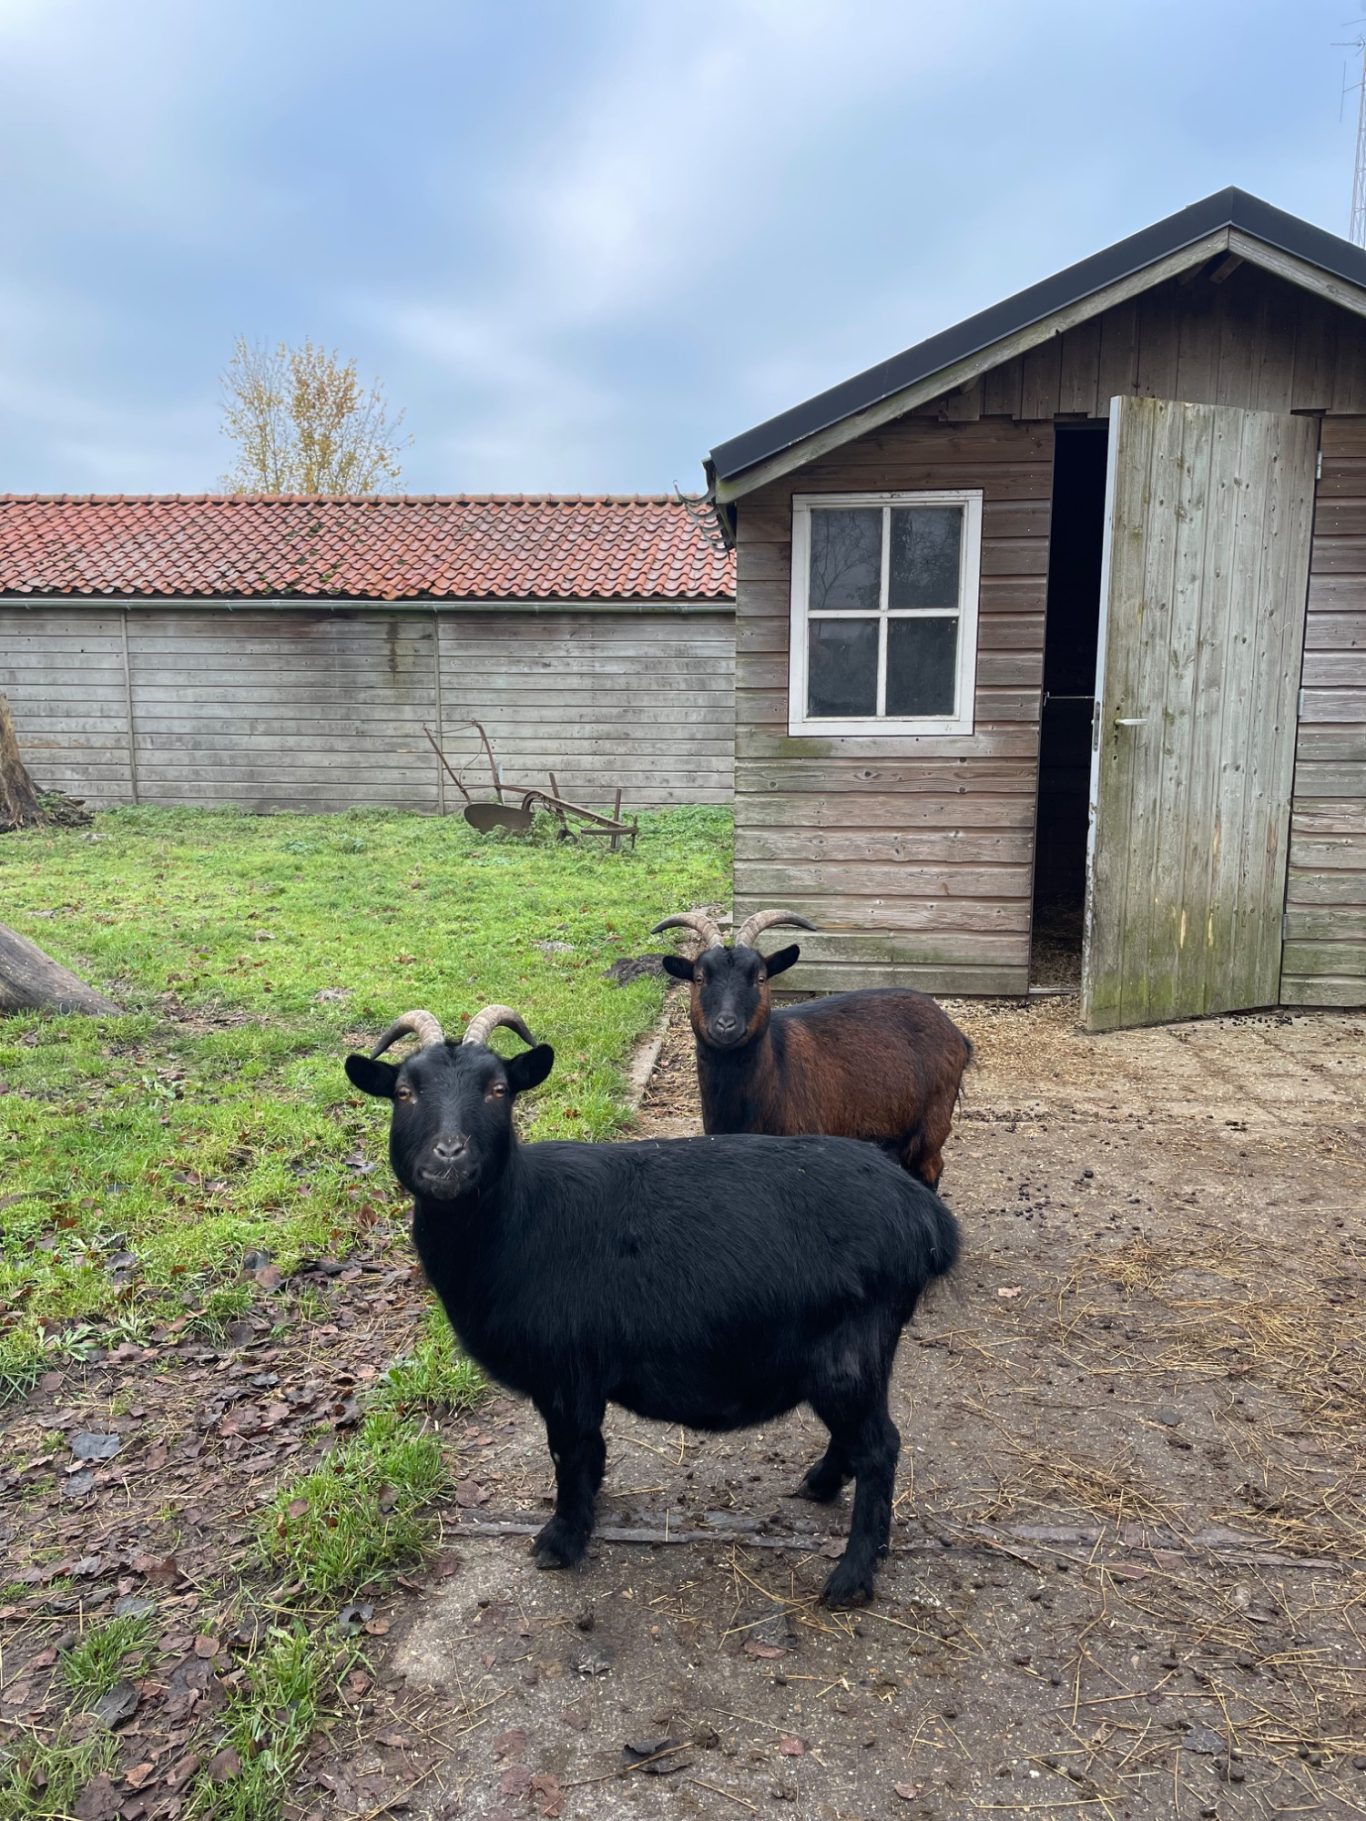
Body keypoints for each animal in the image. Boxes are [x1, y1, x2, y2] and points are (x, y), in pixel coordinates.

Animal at [345, 1004, 959, 1608]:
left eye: (499, 1089)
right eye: (404, 1091)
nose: (449, 1158)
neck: (519, 1220)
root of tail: (927, 1217)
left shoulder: (567, 1373)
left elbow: (570, 1451)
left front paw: (561, 1539)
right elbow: (587, 1452)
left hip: (850, 1349)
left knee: (879, 1448)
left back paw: (852, 1577)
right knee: (857, 1436)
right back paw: (820, 1484)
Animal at [650, 909, 973, 1191]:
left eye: (760, 978)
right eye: (700, 978)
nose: (726, 1025)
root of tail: (955, 1033)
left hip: (932, 1123)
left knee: (932, 1169)